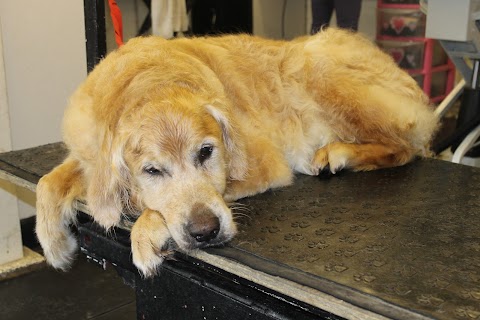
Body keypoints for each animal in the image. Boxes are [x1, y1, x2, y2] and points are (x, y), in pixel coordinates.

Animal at [34, 28, 438, 276]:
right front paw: (55, 245)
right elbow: (48, 182)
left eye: (206, 152)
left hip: (315, 66)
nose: (205, 232)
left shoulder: (264, 163)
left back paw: (339, 153)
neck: (149, 83)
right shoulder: (89, 157)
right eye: (152, 171)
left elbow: (154, 210)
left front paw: (145, 231)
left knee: (407, 147)